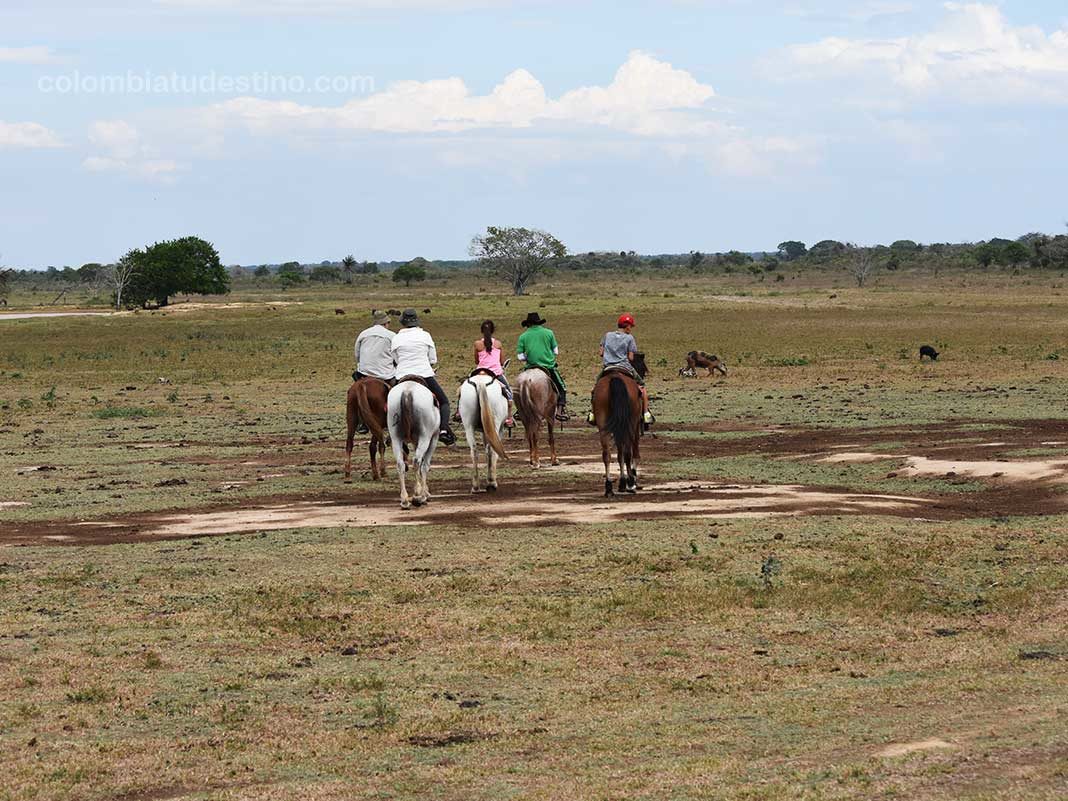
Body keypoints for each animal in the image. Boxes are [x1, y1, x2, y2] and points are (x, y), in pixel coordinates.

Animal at [386, 380, 440, 508]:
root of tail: (407, 391)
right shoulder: (434, 437)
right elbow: (425, 465)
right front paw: (424, 494)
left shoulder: (415, 442)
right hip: (425, 437)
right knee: (417, 461)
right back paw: (418, 496)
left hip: (396, 438)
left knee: (400, 464)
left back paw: (405, 500)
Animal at [589, 356, 645, 499]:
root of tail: (615, 376)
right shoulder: (635, 425)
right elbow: (633, 453)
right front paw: (629, 481)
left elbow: (619, 454)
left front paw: (621, 483)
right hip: (630, 423)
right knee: (628, 453)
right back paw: (630, 484)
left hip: (603, 422)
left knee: (607, 454)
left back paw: (609, 487)